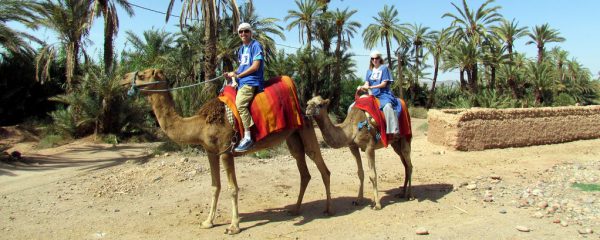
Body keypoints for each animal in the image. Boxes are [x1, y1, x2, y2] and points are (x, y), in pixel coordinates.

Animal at [121, 69, 332, 234]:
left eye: (142, 74)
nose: (123, 77)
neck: (200, 125)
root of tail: (303, 106)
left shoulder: (226, 151)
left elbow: (232, 188)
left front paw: (234, 226)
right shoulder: (211, 152)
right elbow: (215, 186)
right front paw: (207, 222)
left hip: (306, 129)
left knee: (323, 167)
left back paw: (328, 210)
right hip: (292, 138)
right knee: (304, 171)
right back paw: (295, 210)